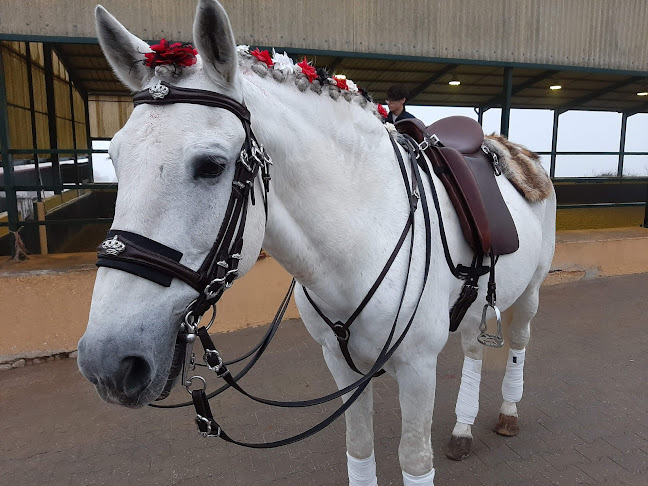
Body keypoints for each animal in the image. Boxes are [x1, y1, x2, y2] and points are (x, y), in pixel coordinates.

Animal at [77, 1, 556, 484]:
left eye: (211, 165)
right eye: (114, 157)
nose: (106, 362)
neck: (365, 234)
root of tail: (512, 148)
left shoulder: (418, 366)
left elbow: (415, 460)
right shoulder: (339, 362)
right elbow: (359, 449)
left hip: (532, 292)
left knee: (519, 342)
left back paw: (508, 412)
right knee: (475, 348)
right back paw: (462, 429)